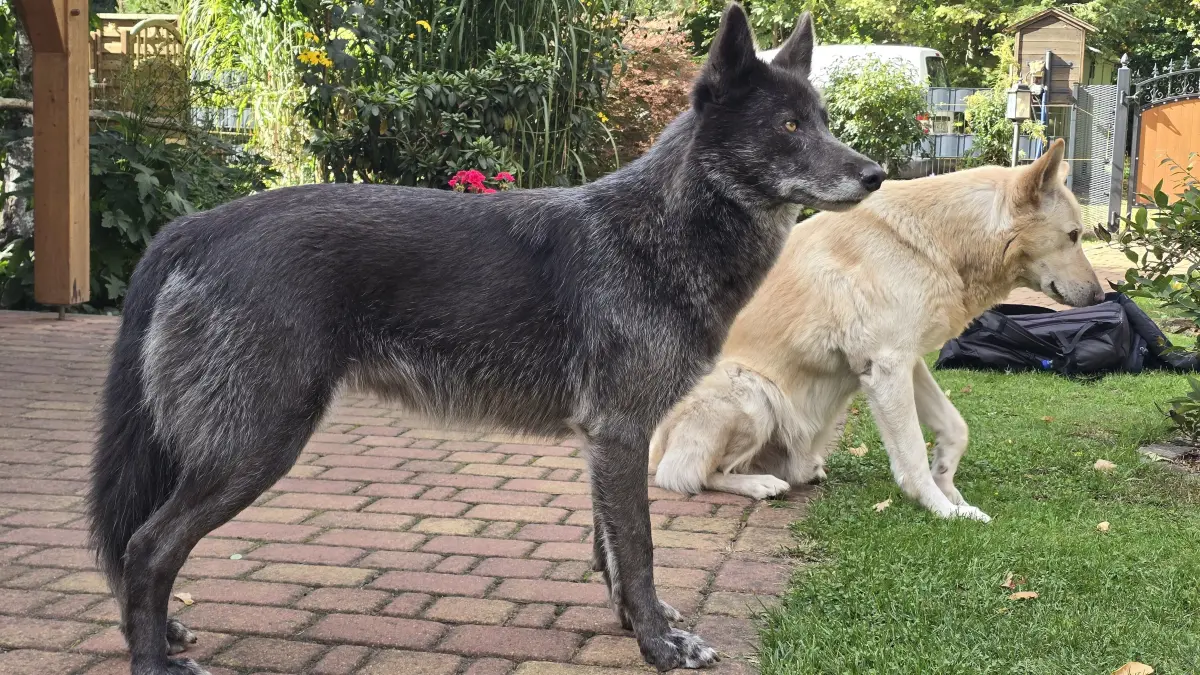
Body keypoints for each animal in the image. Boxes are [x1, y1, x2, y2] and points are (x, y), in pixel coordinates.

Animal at [88, 5, 883, 673]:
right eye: (787, 127)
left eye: (821, 120)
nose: (875, 174)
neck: (660, 232)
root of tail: (195, 226)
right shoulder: (623, 435)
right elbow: (640, 550)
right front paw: (661, 645)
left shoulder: (603, 444)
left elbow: (610, 552)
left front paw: (636, 626)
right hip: (256, 445)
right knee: (146, 547)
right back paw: (153, 660)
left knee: (134, 547)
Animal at [649, 138, 1103, 521]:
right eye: (1073, 235)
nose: (1101, 295)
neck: (938, 239)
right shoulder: (887, 367)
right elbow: (912, 456)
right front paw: (944, 509)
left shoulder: (907, 362)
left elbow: (956, 428)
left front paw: (949, 483)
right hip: (751, 392)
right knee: (685, 474)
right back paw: (759, 483)